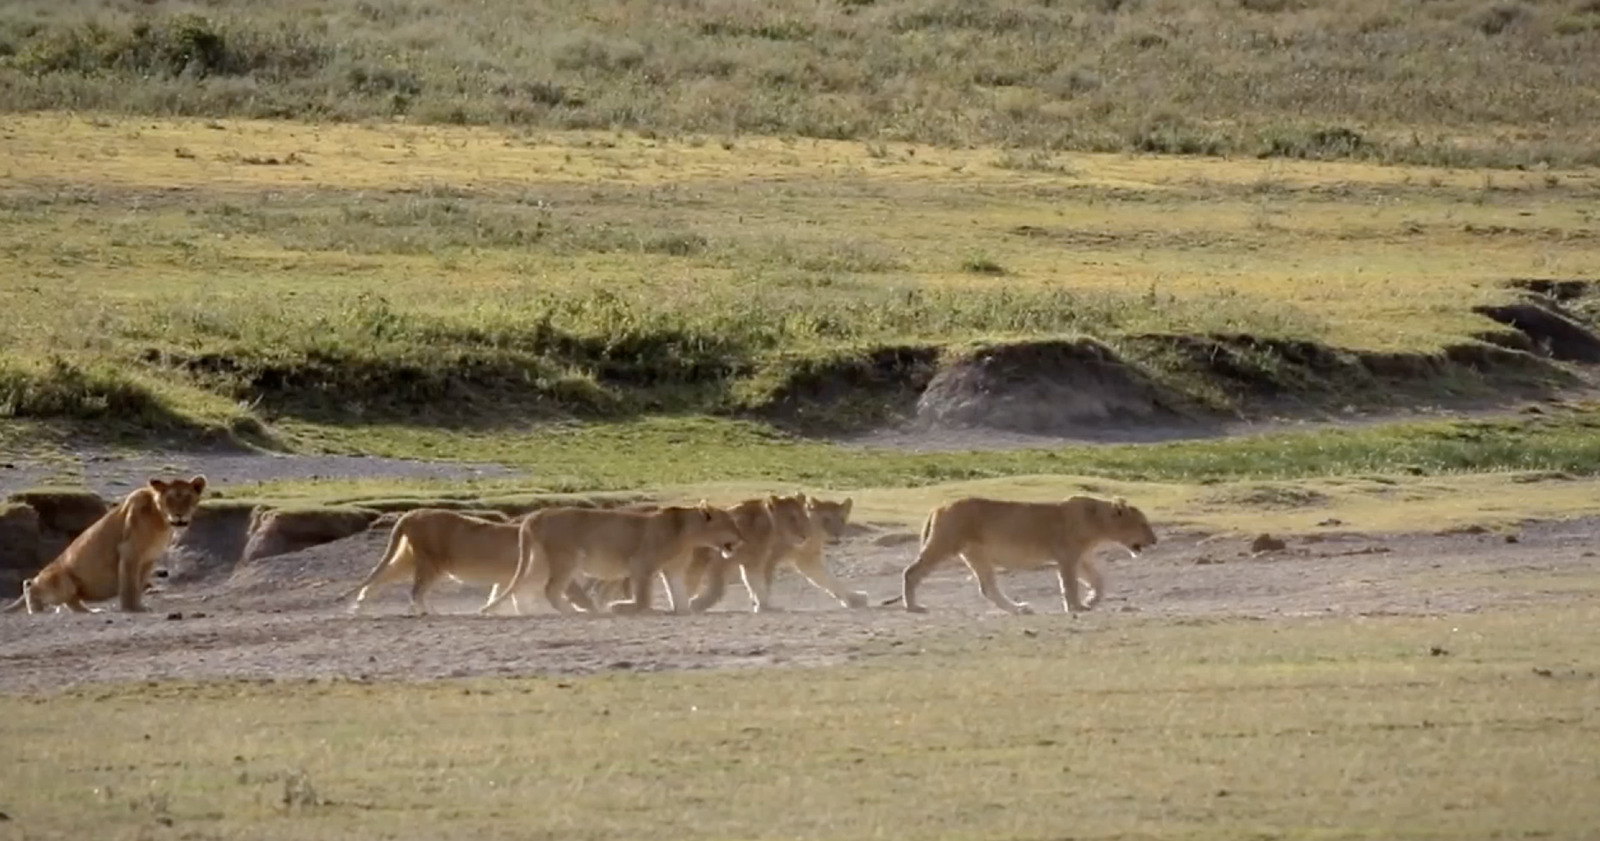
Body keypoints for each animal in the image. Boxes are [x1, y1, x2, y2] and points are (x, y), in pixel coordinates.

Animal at [0, 479, 209, 617]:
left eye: (188, 498)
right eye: (170, 499)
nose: (179, 514)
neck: (162, 522)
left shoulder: (149, 559)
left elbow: (139, 583)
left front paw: (138, 604)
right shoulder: (129, 552)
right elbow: (130, 584)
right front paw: (133, 609)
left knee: (72, 602)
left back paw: (90, 611)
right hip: (62, 580)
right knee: (29, 584)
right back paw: (36, 609)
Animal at [342, 508, 601, 620]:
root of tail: (411, 514)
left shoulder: (507, 578)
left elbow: (504, 595)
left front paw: (493, 610)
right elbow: (567, 591)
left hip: (409, 561)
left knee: (378, 579)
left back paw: (358, 607)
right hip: (431, 563)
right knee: (416, 591)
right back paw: (427, 612)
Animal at [476, 502, 745, 620]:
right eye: (730, 524)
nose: (742, 539)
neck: (688, 534)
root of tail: (535, 514)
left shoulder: (674, 570)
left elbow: (679, 595)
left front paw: (685, 610)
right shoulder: (641, 565)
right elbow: (644, 599)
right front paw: (621, 606)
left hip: (539, 564)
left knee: (524, 586)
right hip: (566, 559)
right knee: (551, 589)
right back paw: (580, 612)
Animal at [684, 495, 870, 613]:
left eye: (842, 519)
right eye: (826, 519)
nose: (837, 534)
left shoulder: (808, 561)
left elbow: (829, 581)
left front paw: (854, 599)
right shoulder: (766, 559)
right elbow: (761, 583)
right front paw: (761, 605)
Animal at [896, 495, 1158, 620]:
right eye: (1143, 524)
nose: (1155, 540)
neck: (1098, 522)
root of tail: (938, 507)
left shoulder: (1081, 558)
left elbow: (1099, 581)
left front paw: (1091, 600)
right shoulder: (1067, 556)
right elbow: (1069, 584)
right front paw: (1076, 606)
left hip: (977, 554)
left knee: (988, 588)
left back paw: (1019, 609)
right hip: (944, 544)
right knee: (911, 572)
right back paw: (913, 606)